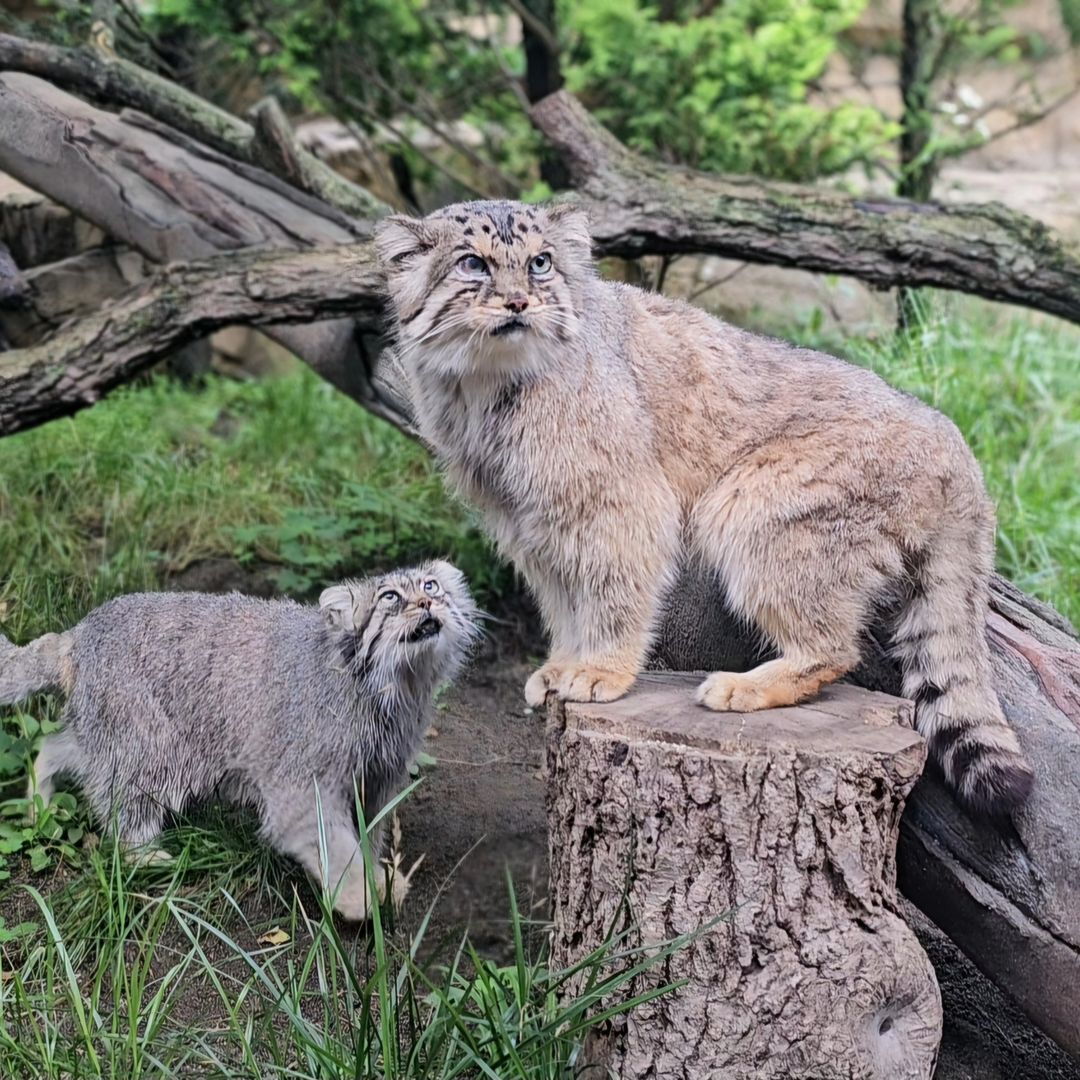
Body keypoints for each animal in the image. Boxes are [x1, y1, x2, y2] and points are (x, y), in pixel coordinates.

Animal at [0, 565, 477, 920]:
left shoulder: (376, 775)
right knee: (125, 797)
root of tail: (77, 634)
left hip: (106, 726)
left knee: (58, 747)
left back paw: (39, 796)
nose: (428, 602)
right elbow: (327, 838)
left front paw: (378, 878)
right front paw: (357, 895)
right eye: (390, 597)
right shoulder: (302, 779)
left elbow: (369, 831)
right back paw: (144, 854)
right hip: (148, 739)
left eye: (430, 585)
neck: (388, 687)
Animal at [375, 200, 1032, 816]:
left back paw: (745, 687)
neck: (485, 392)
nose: (518, 302)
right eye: (472, 264)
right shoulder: (527, 520)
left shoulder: (619, 505)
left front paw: (601, 671)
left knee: (835, 647)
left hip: (754, 509)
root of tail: (961, 452)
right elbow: (561, 600)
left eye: (541, 263)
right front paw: (562, 665)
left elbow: (612, 593)